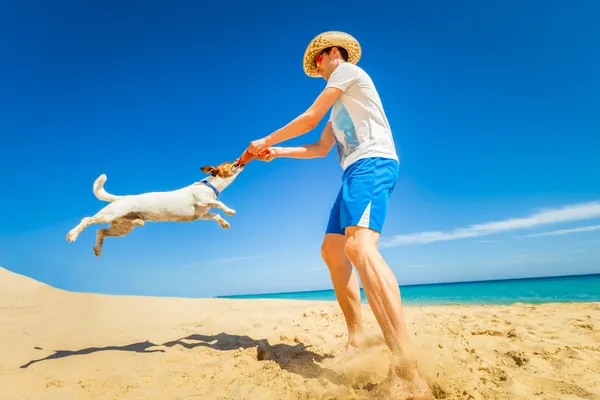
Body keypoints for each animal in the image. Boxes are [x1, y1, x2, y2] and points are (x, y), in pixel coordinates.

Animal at [64, 160, 245, 256]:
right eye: (229, 162)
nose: (240, 160)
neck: (210, 186)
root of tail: (121, 198)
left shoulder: (201, 214)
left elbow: (215, 215)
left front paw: (224, 223)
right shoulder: (202, 201)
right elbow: (219, 205)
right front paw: (230, 210)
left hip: (123, 227)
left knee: (100, 231)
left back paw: (98, 249)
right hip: (109, 215)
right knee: (87, 220)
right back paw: (72, 235)